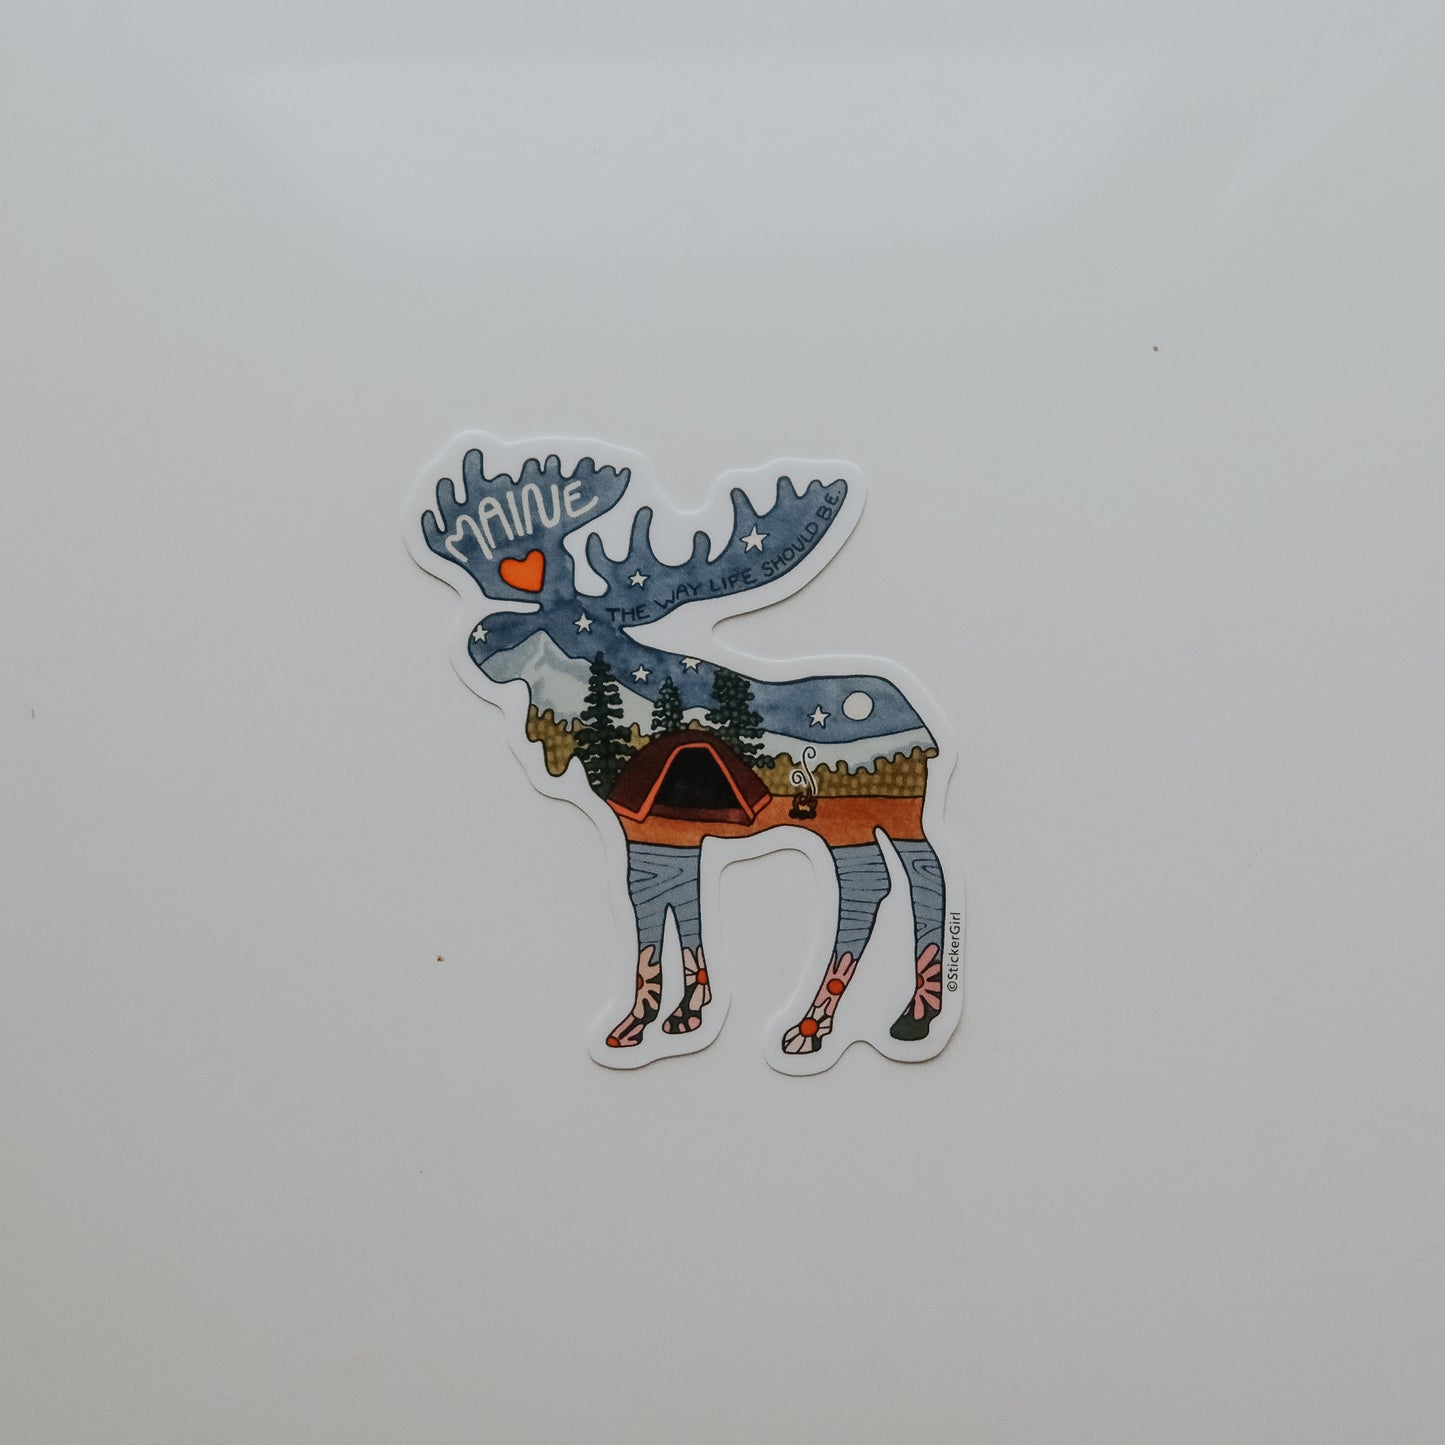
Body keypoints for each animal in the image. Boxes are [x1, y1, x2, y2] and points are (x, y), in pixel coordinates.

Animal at [405, 435, 958, 1071]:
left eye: (569, 620)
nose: (475, 641)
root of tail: (929, 730)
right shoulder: (679, 835)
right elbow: (685, 911)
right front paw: (687, 1014)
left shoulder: (643, 829)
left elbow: (647, 913)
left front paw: (632, 1026)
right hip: (886, 817)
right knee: (913, 878)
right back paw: (906, 1017)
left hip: (857, 816)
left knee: (881, 886)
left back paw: (818, 1026)